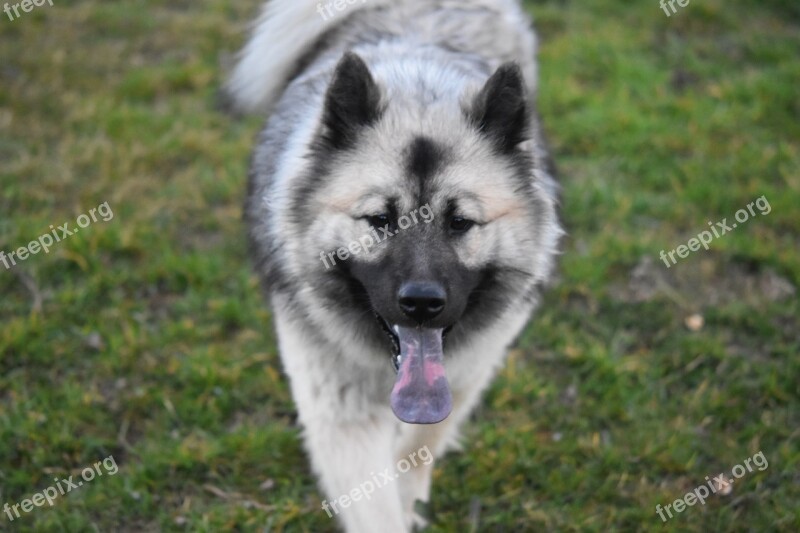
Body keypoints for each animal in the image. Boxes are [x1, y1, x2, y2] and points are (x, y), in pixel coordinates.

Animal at [225, 2, 564, 528]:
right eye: (380, 220)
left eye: (460, 222)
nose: (421, 303)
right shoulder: (341, 415)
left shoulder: (468, 373)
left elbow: (421, 441)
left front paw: (411, 498)